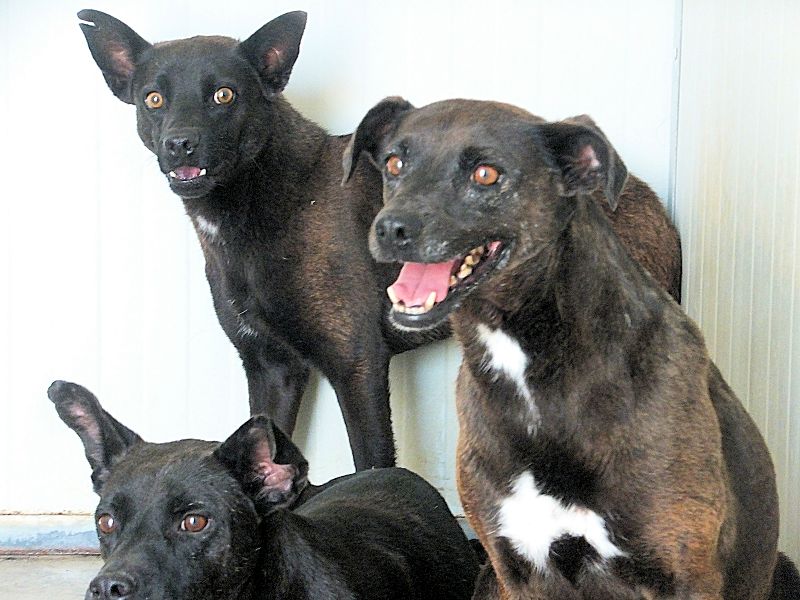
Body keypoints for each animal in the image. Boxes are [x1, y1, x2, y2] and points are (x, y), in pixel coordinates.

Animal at [344, 98, 800, 598]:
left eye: (485, 174)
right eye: (394, 164)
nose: (390, 229)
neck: (535, 370)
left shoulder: (685, 575)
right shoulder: (517, 570)